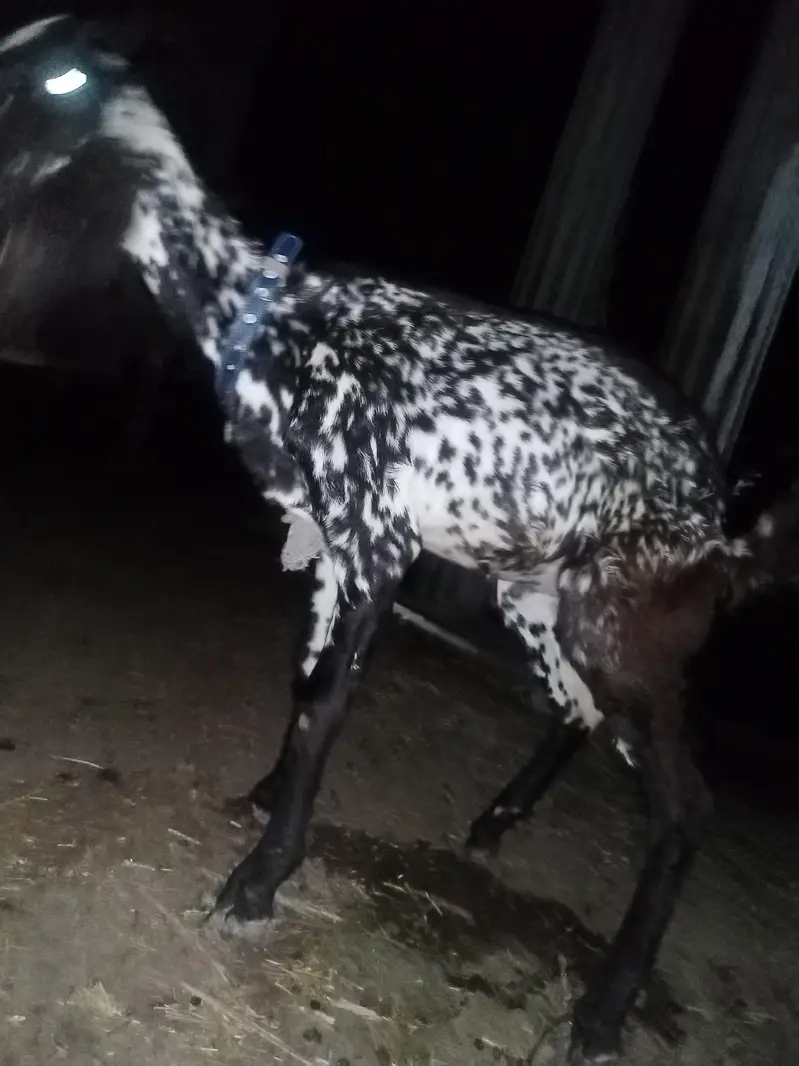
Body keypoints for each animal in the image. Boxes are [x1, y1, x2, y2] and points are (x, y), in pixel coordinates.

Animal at [0, 16, 796, 1063]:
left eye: (49, 80)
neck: (276, 325)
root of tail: (719, 520)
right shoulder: (323, 542)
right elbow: (303, 683)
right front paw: (263, 798)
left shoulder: (376, 540)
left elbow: (327, 705)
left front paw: (257, 883)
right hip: (537, 596)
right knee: (580, 714)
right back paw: (494, 824)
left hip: (617, 619)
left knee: (682, 805)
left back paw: (600, 1012)